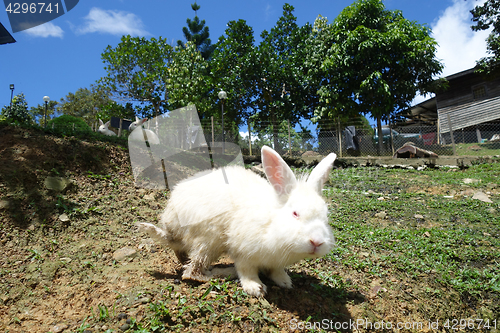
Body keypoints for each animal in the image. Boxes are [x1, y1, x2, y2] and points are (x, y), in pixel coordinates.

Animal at [139, 145, 338, 296]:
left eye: (326, 215)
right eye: (295, 213)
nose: (317, 242)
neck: (271, 223)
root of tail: (170, 226)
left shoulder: (275, 262)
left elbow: (276, 271)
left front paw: (285, 282)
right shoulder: (243, 252)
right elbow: (246, 271)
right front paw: (255, 288)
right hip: (209, 241)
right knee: (193, 273)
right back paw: (224, 272)